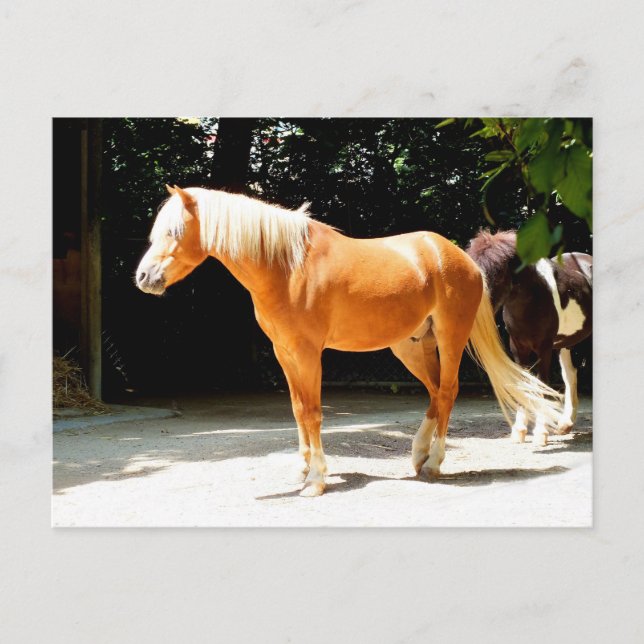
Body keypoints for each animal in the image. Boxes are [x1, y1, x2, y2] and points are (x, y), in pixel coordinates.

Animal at [136, 185, 562, 496]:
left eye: (175, 232)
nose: (143, 277)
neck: (286, 267)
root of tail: (459, 258)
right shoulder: (284, 353)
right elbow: (297, 410)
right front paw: (303, 468)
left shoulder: (309, 354)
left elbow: (312, 412)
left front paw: (316, 480)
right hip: (410, 346)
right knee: (435, 393)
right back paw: (418, 456)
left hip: (449, 337)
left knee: (449, 390)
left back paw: (435, 461)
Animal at [466, 229, 592, 446]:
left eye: (497, 273)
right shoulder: (518, 348)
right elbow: (523, 384)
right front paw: (520, 431)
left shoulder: (544, 348)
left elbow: (543, 385)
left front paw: (541, 433)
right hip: (566, 343)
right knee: (570, 375)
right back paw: (565, 425)